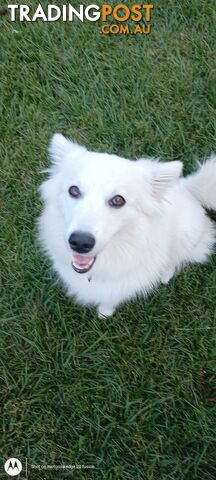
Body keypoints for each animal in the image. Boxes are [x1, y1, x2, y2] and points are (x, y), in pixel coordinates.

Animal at [38, 133, 216, 316]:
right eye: (73, 190)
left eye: (118, 200)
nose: (80, 242)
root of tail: (187, 189)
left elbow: (110, 299)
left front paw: (104, 313)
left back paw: (165, 275)